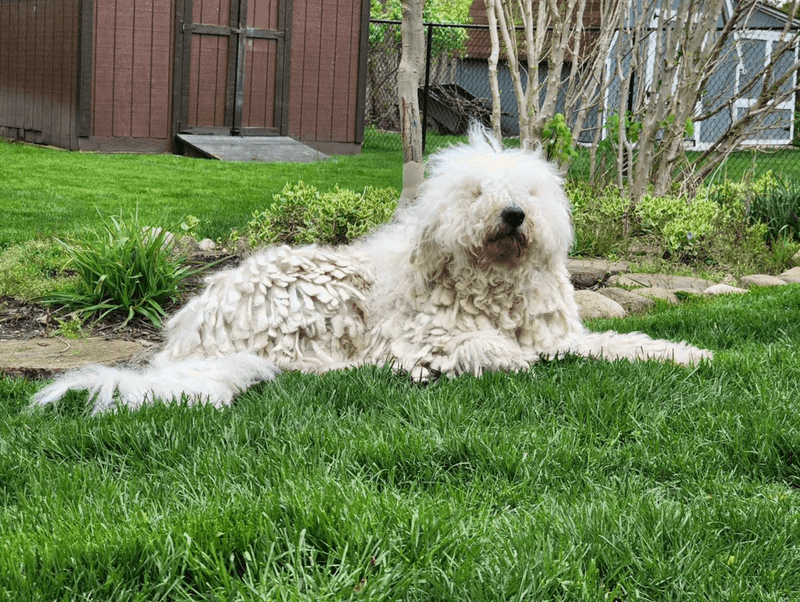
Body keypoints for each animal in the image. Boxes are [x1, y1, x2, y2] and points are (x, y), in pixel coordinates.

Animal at [34, 126, 712, 412]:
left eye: (528, 192)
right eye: (476, 193)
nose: (514, 215)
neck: (494, 284)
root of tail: (189, 334)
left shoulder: (562, 335)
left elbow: (619, 342)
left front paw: (686, 352)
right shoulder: (419, 333)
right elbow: (473, 345)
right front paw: (496, 357)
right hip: (315, 299)